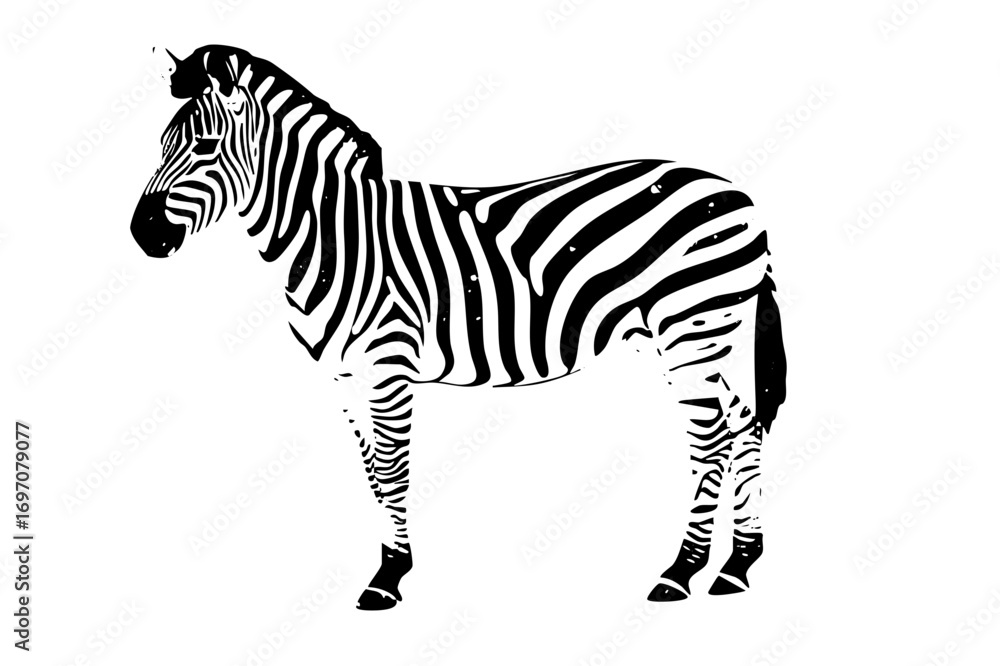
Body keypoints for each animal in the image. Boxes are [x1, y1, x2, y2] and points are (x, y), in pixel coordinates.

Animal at [130, 45, 787, 611]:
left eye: (206, 145)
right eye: (161, 143)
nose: (142, 234)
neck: (337, 236)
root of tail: (738, 192)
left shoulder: (388, 365)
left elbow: (392, 470)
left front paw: (388, 579)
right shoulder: (344, 376)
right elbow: (370, 473)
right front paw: (390, 567)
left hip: (690, 327)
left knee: (711, 440)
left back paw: (680, 572)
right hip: (722, 328)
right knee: (745, 427)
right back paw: (737, 566)